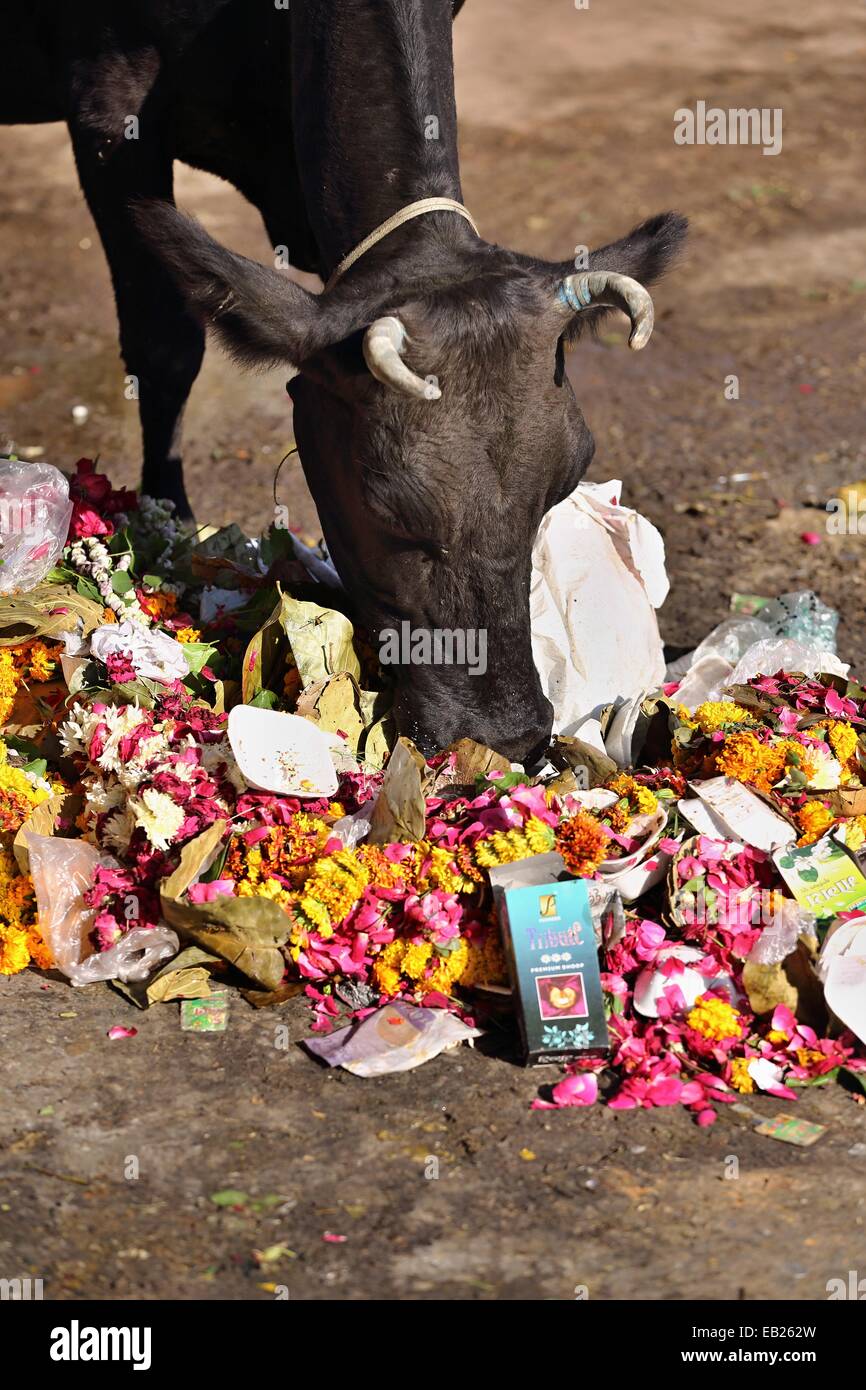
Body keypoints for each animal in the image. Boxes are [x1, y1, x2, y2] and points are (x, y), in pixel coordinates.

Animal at [3, 0, 686, 761]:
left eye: (565, 482)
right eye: (387, 507)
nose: (507, 734)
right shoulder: (106, 97)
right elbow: (166, 345)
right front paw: (168, 521)